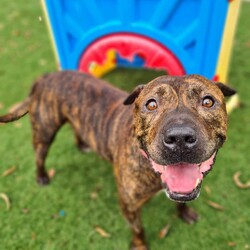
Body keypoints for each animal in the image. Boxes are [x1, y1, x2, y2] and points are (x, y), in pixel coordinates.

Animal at [0, 71, 235, 249]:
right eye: (151, 105)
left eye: (208, 101)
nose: (179, 138)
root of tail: (47, 75)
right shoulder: (129, 205)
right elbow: (138, 229)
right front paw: (140, 245)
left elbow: (182, 201)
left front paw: (185, 214)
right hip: (45, 131)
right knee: (39, 155)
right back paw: (41, 176)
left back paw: (82, 144)